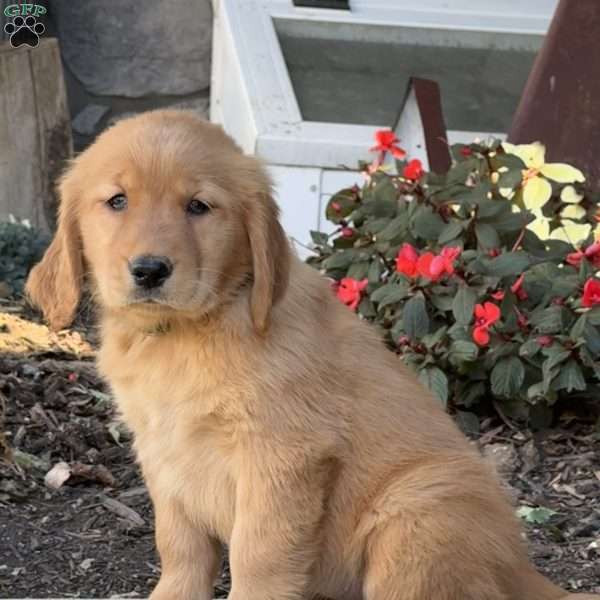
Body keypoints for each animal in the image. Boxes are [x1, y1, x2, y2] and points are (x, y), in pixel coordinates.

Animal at [25, 109, 596, 600]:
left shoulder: (282, 458)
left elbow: (257, 556)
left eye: (199, 207)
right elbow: (180, 547)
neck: (187, 333)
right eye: (117, 201)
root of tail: (522, 569)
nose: (149, 270)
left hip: (416, 518)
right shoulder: (164, 453)